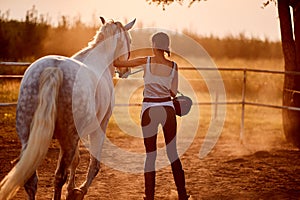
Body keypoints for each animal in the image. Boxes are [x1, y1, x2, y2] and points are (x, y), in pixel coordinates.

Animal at [0, 17, 135, 200]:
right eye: (130, 40)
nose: (125, 70)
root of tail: (54, 69)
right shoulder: (99, 126)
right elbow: (93, 164)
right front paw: (79, 190)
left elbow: (76, 160)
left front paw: (72, 189)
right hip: (68, 139)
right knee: (59, 176)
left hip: (28, 137)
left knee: (31, 179)